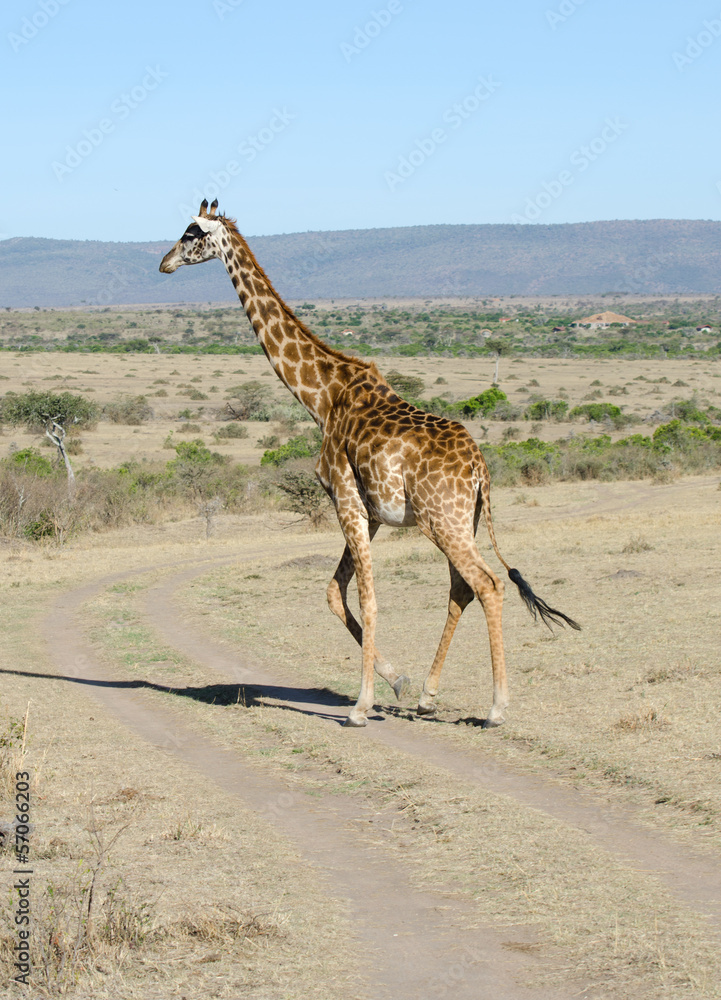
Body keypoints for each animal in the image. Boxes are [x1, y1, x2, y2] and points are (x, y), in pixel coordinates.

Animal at [160, 200, 580, 728]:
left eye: (191, 232)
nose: (164, 263)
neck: (322, 397)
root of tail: (481, 470)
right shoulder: (370, 511)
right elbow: (333, 593)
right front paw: (396, 682)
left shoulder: (345, 498)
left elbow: (366, 597)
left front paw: (361, 706)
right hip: (459, 522)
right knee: (461, 589)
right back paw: (427, 696)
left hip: (443, 522)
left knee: (488, 585)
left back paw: (497, 707)